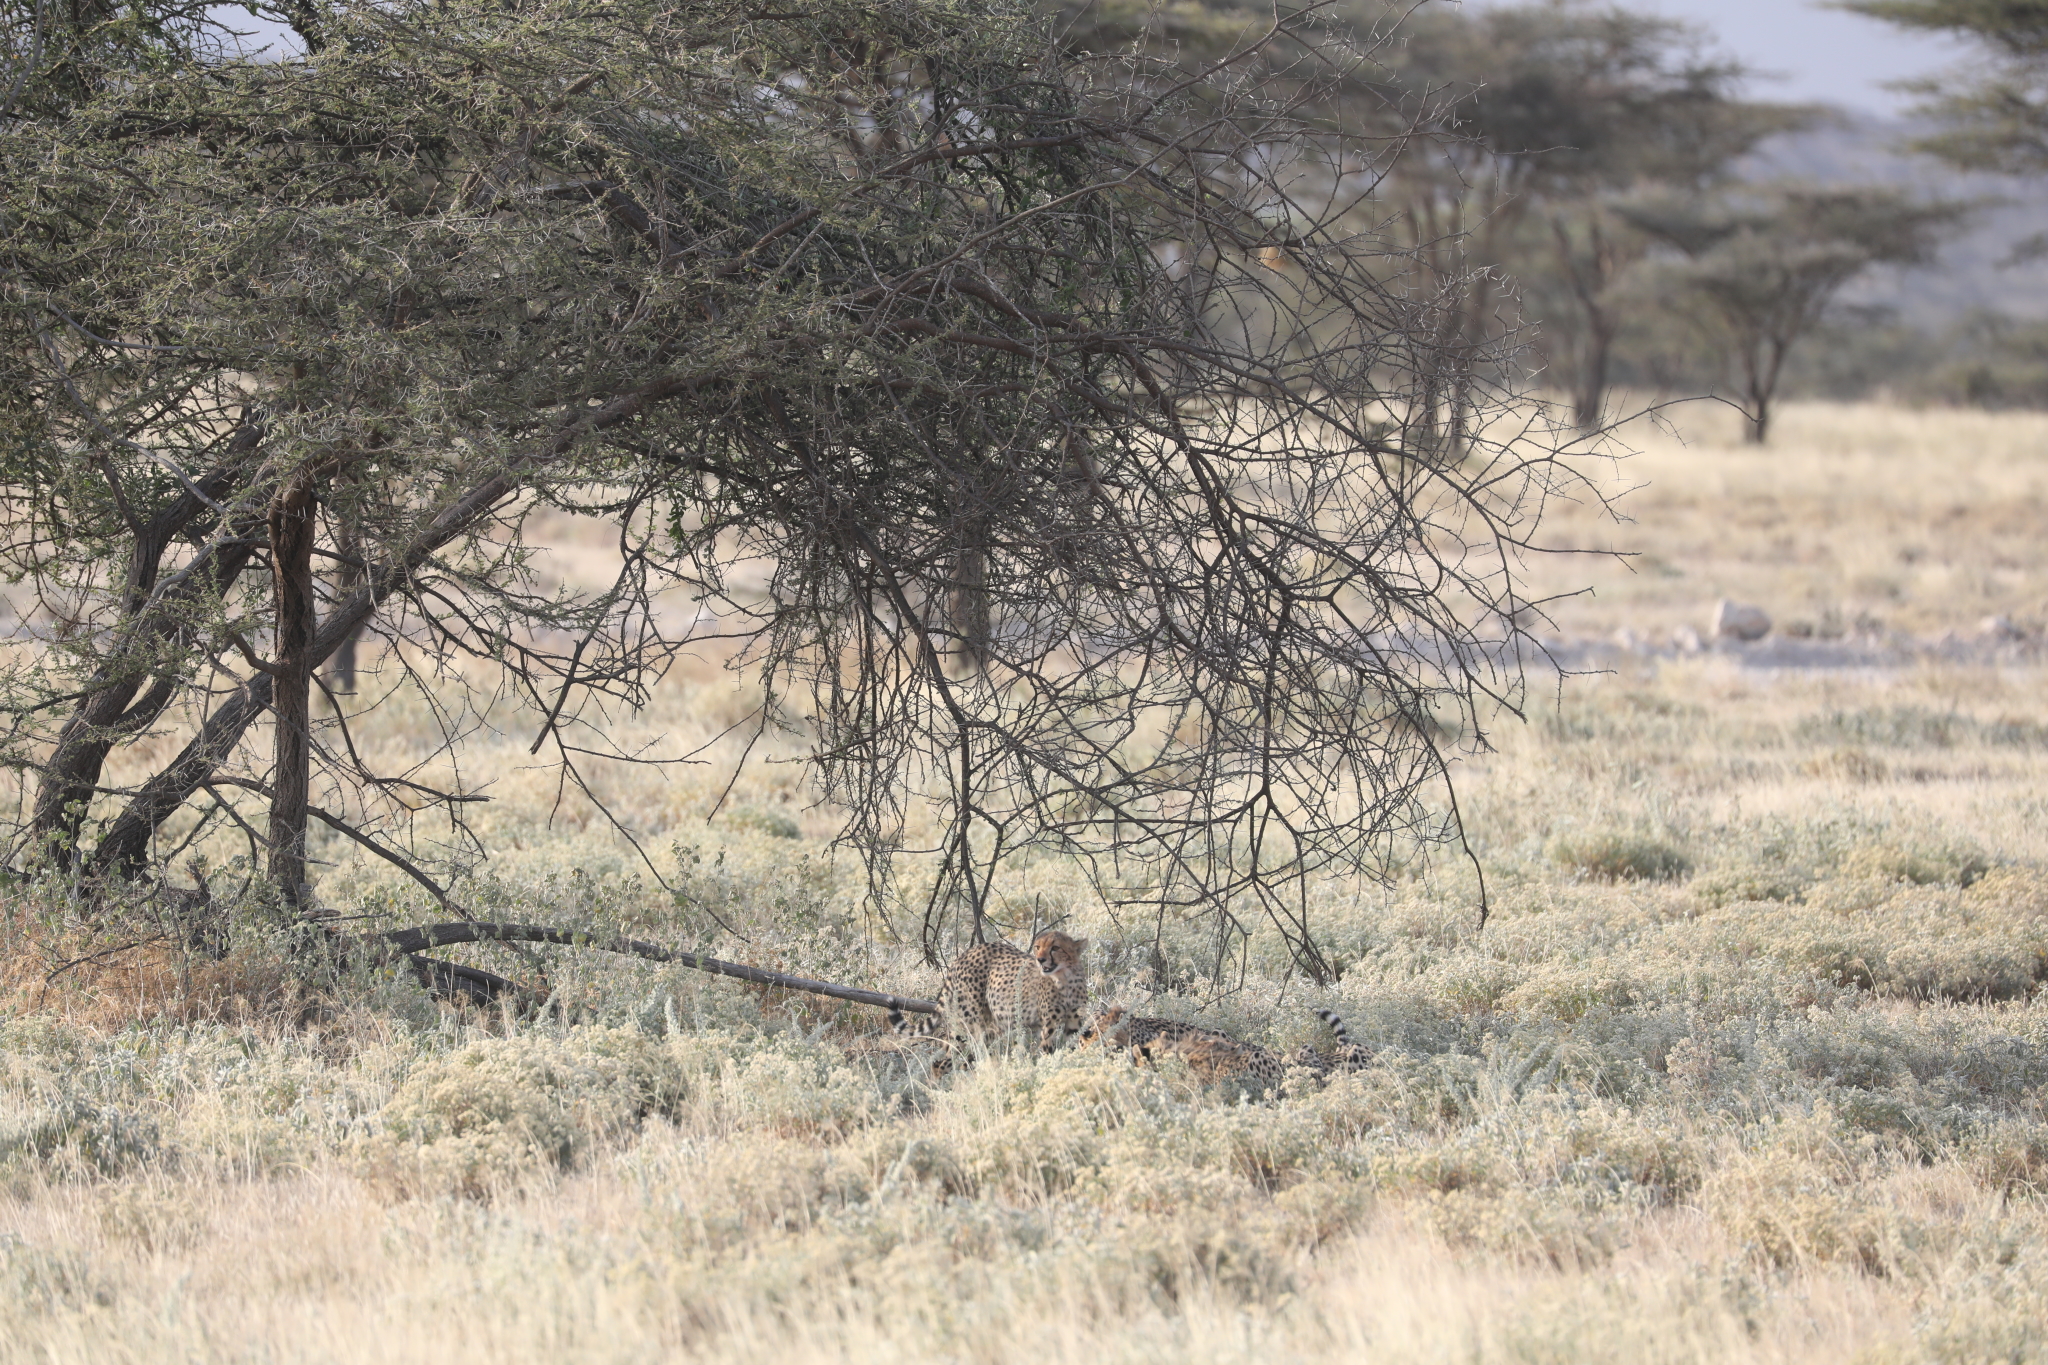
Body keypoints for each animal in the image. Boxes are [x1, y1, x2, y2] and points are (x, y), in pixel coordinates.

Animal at [892, 929, 1097, 1055]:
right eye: (1038, 947)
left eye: (1055, 948)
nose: (1040, 959)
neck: (1065, 979)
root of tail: (966, 952)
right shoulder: (1049, 1026)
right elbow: (1049, 1052)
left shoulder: (1073, 1023)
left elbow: (1070, 1048)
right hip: (971, 1020)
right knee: (952, 1050)